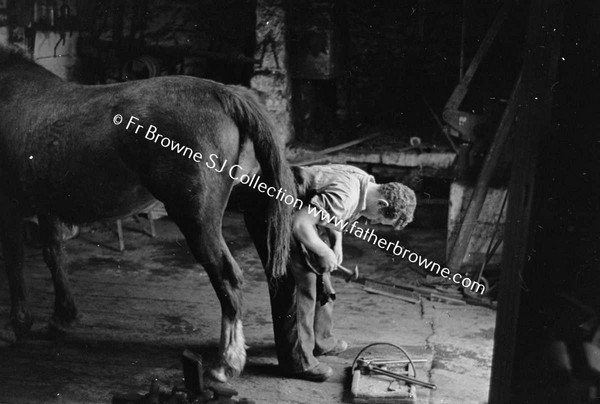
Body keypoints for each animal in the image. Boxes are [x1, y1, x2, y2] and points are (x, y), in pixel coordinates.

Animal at [0, 45, 296, 382]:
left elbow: (14, 263)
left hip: (197, 220)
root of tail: (223, 93)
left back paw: (226, 362)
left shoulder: (9, 209)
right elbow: (53, 255)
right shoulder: (46, 207)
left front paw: (17, 326)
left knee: (227, 276)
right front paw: (63, 316)